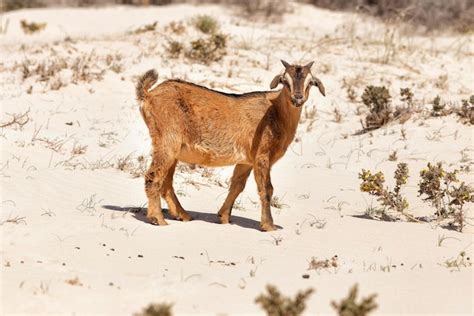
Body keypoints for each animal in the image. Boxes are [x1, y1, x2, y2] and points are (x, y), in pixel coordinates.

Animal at [135, 60, 324, 231]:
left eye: (310, 82)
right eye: (285, 81)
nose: (297, 98)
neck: (276, 112)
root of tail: (148, 95)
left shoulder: (246, 161)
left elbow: (237, 186)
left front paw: (224, 217)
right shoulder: (262, 156)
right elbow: (266, 189)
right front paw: (269, 225)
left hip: (174, 149)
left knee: (166, 182)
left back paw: (183, 215)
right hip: (167, 140)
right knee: (153, 176)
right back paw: (158, 219)